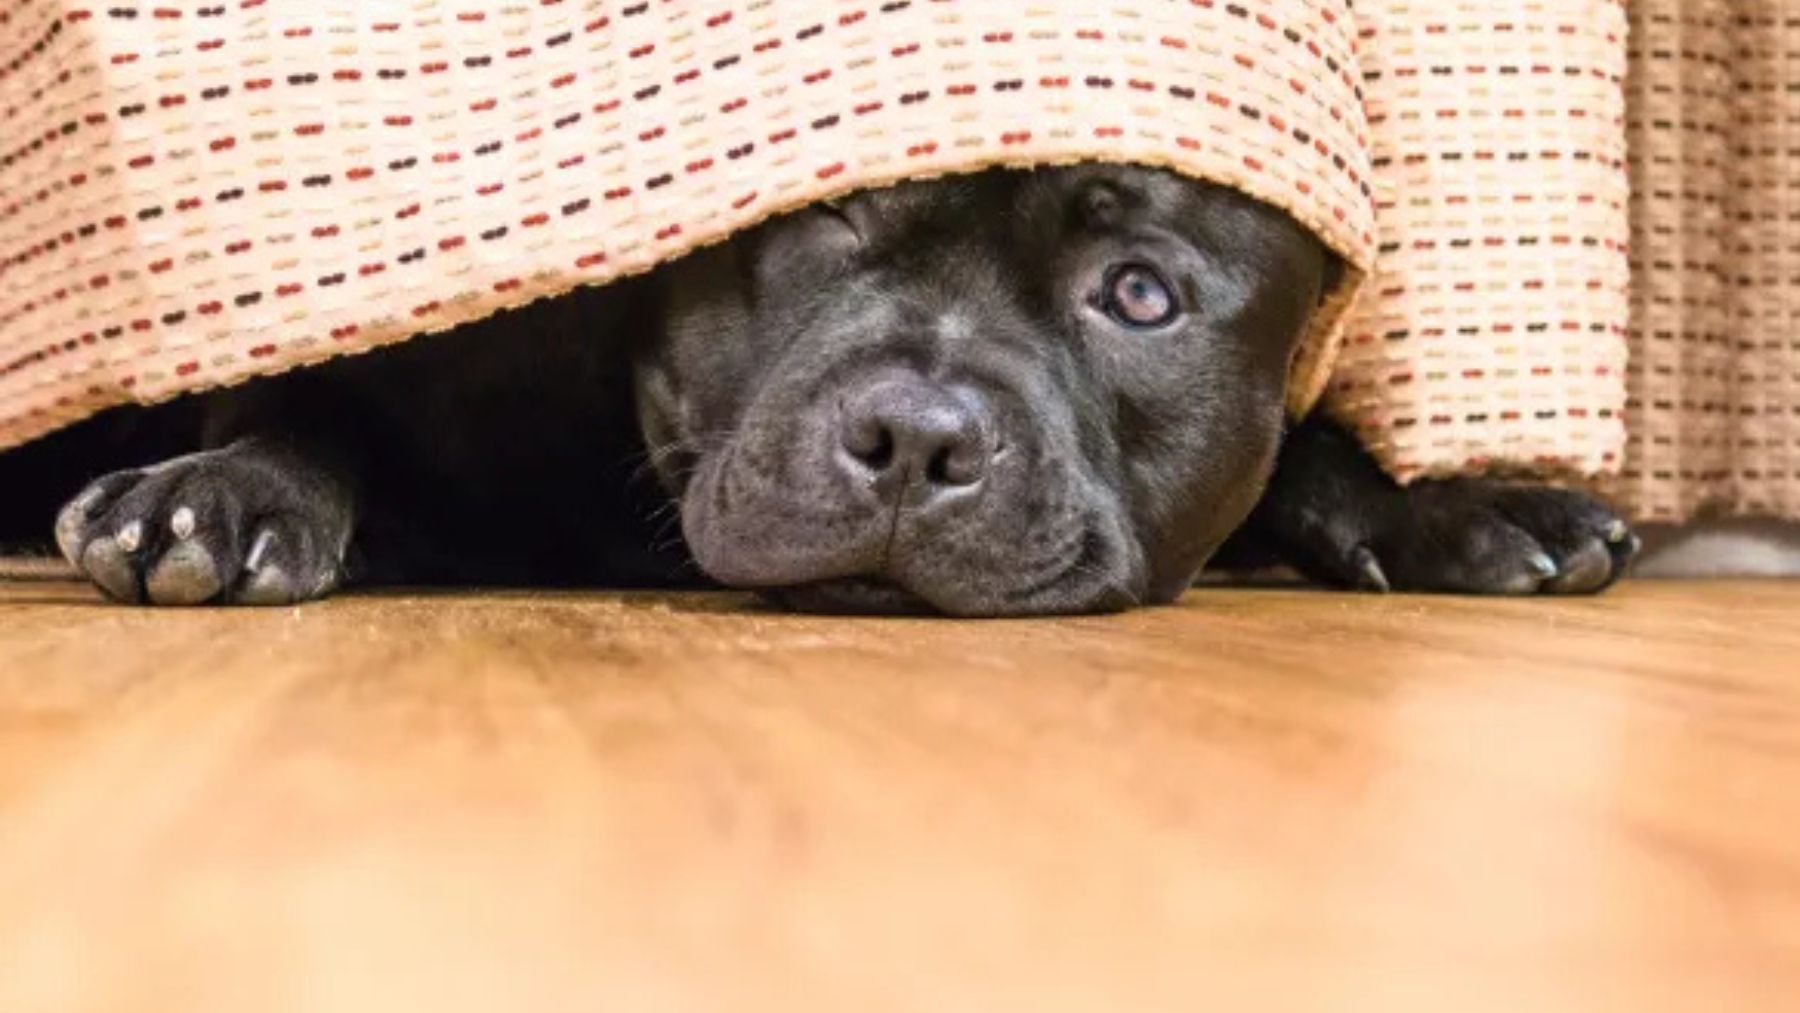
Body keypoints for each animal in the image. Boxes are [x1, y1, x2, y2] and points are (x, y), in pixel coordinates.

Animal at [14, 166, 1641, 615]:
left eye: (1140, 295)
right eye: (829, 214)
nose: (915, 437)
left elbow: (1301, 448)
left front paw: (1461, 502)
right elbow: (293, 401)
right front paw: (221, 492)